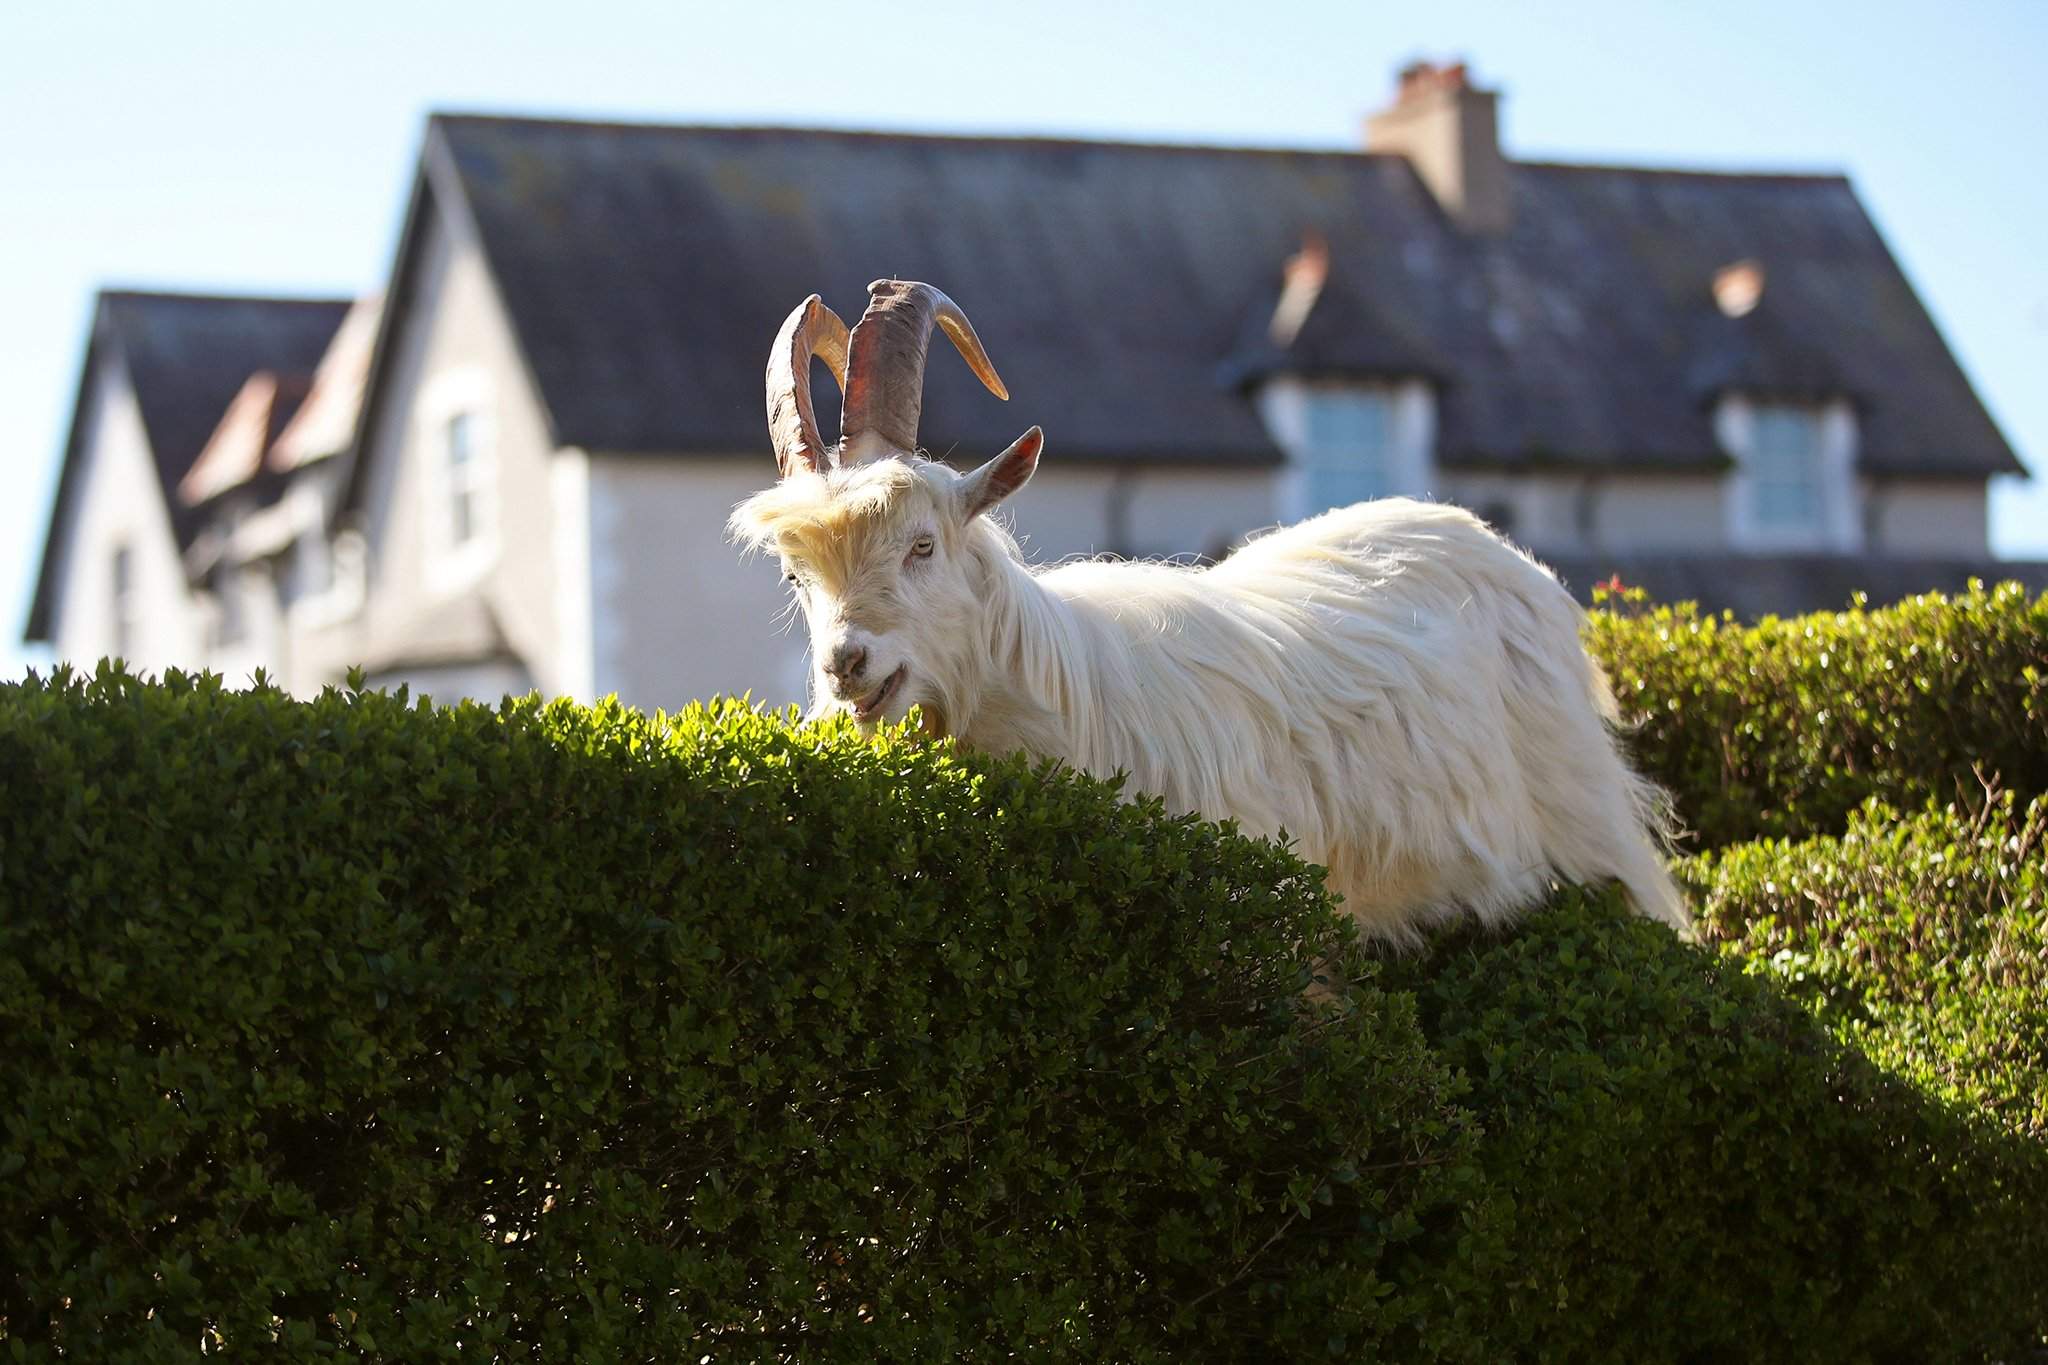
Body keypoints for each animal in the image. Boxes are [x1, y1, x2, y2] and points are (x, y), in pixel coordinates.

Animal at [729, 282, 1687, 945]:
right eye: (796, 578)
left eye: (923, 545)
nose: (846, 664)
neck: (1057, 694)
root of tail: (1489, 544)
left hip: (1589, 827)